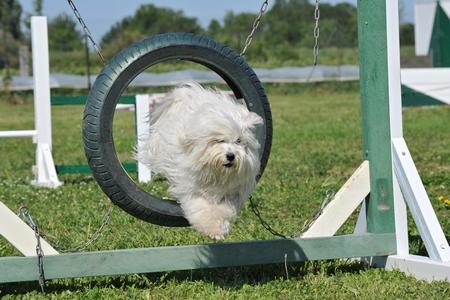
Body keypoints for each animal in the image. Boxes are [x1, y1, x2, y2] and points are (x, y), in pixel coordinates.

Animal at [137, 81, 264, 239]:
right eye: (220, 140)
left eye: (239, 141)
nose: (231, 156)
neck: (216, 171)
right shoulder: (191, 185)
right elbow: (200, 205)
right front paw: (212, 228)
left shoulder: (232, 191)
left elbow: (224, 208)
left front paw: (219, 228)